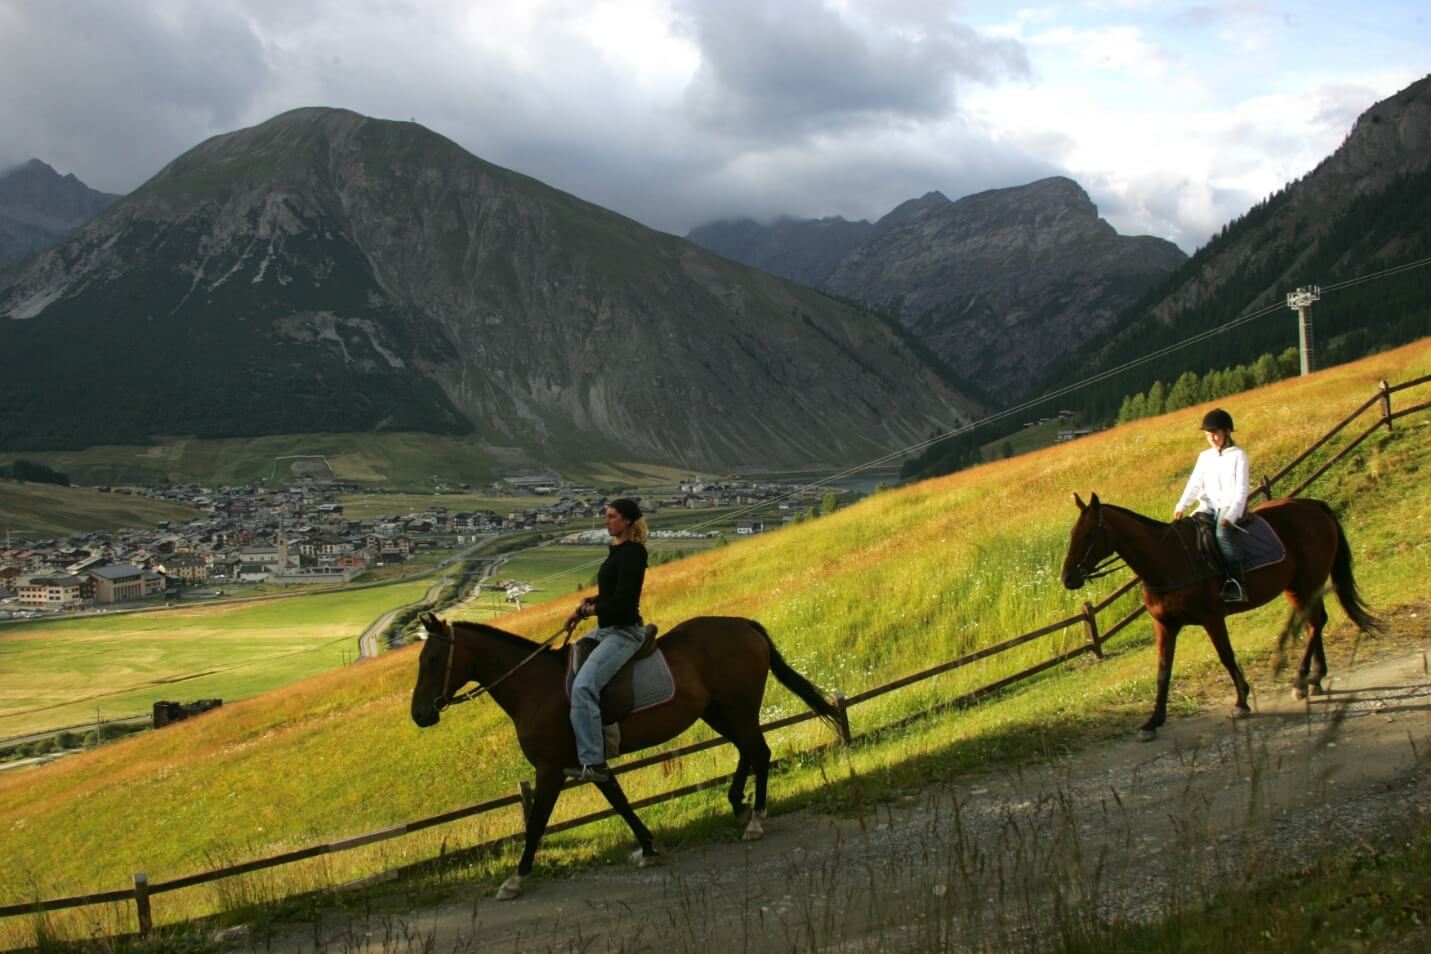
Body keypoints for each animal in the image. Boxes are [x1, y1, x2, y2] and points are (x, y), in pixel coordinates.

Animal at [412, 615, 835, 898]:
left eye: (432, 659)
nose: (420, 715)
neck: (534, 687)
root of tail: (744, 626)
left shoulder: (551, 769)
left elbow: (536, 824)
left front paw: (516, 878)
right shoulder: (589, 764)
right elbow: (619, 802)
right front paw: (648, 847)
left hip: (738, 707)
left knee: (759, 752)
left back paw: (756, 818)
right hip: (718, 712)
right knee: (747, 750)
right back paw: (739, 806)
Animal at [1064, 497, 1373, 743]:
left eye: (1088, 535)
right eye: (1072, 534)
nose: (1067, 578)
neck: (1166, 560)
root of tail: (1313, 505)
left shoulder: (1211, 618)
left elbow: (1226, 655)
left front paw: (1241, 701)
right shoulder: (1165, 626)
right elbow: (1163, 671)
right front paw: (1153, 722)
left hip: (1308, 583)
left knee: (1315, 622)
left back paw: (1301, 681)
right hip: (1297, 588)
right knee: (1313, 622)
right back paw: (1315, 678)